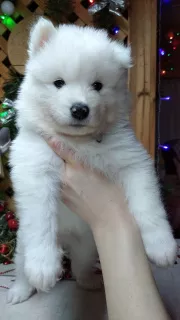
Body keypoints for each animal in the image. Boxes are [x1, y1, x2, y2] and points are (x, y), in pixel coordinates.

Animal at [8, 18, 176, 304]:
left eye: (97, 85)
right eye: (59, 83)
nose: (80, 109)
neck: (78, 143)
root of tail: (66, 239)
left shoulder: (133, 162)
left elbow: (149, 206)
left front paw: (162, 246)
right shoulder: (35, 172)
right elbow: (41, 219)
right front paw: (43, 266)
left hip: (87, 245)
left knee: (80, 266)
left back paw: (89, 282)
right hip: (21, 244)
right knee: (21, 267)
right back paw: (20, 290)